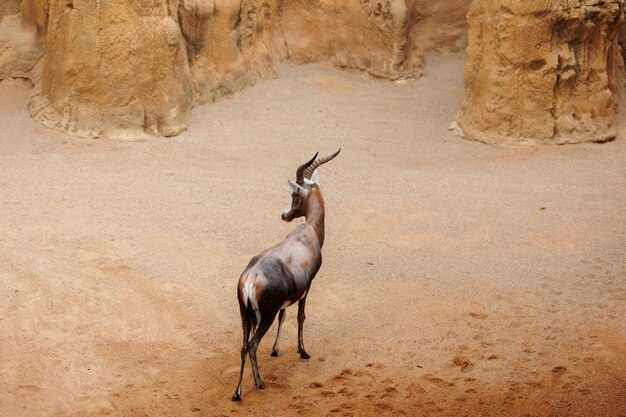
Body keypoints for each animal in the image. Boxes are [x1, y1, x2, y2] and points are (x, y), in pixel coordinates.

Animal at [230, 149, 338, 400]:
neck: (307, 234)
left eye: (294, 195)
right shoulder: (307, 287)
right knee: (252, 345)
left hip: (245, 314)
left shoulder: (287, 298)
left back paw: (238, 393)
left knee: (243, 346)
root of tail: (250, 279)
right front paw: (303, 352)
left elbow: (284, 315)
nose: (284, 214)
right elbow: (300, 316)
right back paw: (259, 382)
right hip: (263, 316)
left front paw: (276, 349)